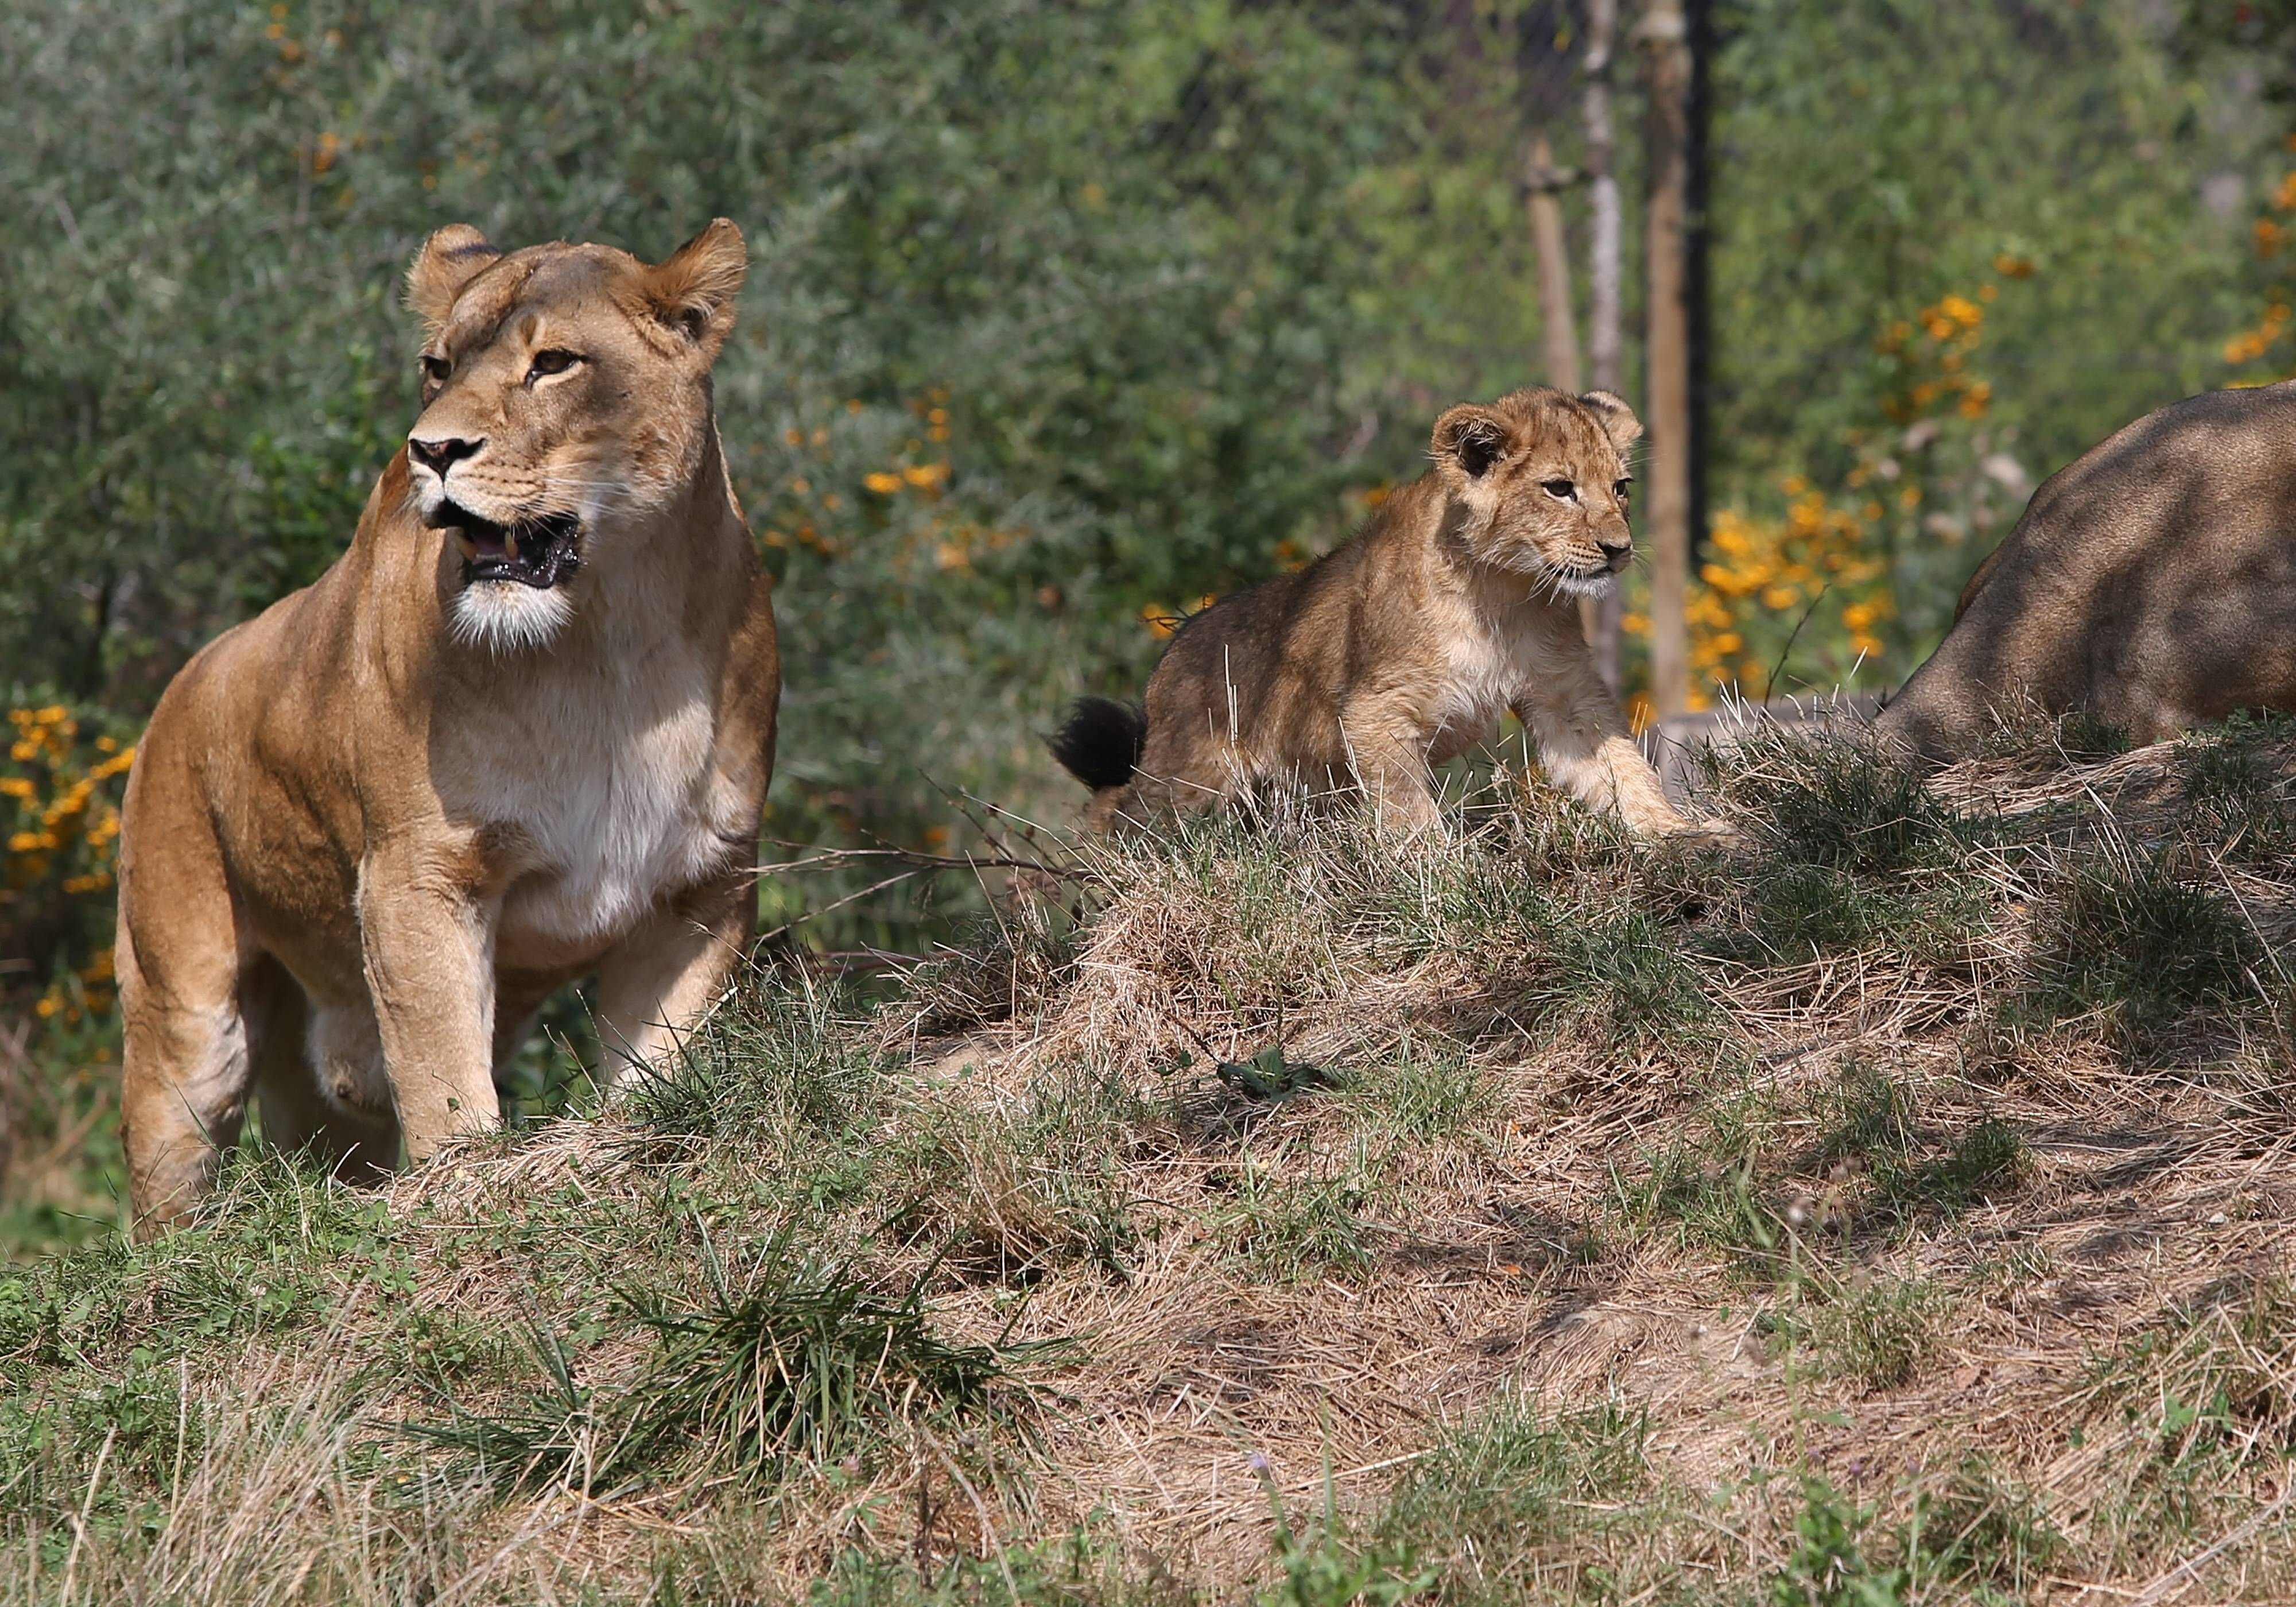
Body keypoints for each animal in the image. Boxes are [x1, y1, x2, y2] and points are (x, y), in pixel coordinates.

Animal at [114, 220, 779, 1236]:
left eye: (553, 363)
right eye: (437, 367)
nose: (432, 450)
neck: (608, 644)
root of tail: (181, 683)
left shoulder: (700, 885)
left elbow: (657, 1063)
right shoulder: (420, 870)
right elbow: (442, 1068)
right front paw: (466, 1189)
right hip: (184, 1014)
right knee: (167, 1187)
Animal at [1049, 387, 1686, 837]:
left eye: (1621, 486)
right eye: (1559, 488)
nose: (1618, 549)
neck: (1503, 592)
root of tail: (1172, 651)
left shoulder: (1562, 691)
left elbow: (1620, 766)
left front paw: (1680, 834)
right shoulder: (1375, 707)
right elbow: (1408, 808)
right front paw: (1444, 880)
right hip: (1190, 779)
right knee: (1123, 811)